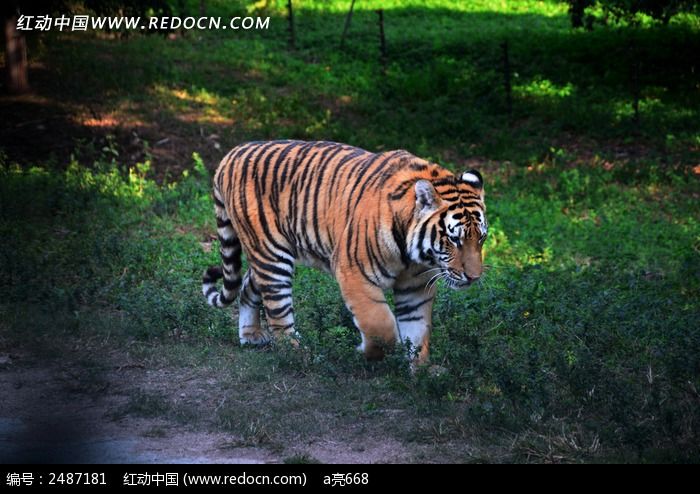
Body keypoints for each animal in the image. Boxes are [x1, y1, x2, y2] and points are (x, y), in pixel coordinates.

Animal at [202, 141, 486, 364]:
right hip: (272, 256)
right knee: (278, 313)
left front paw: (421, 373)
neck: (414, 256)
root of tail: (232, 153)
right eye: (454, 240)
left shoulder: (415, 287)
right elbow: (380, 327)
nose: (474, 277)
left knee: (247, 287)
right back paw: (300, 354)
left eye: (481, 239)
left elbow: (418, 332)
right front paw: (366, 352)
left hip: (265, 253)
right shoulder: (354, 272)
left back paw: (250, 336)